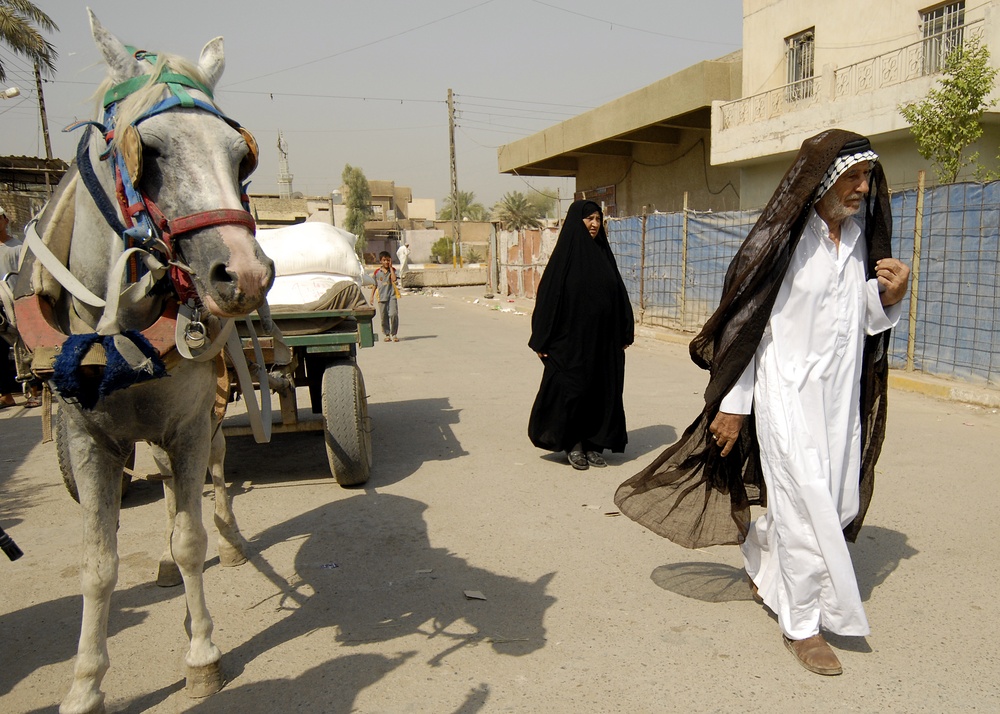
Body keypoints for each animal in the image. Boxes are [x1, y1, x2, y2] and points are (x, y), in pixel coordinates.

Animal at [13, 12, 276, 712]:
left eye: (240, 155)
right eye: (145, 152)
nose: (244, 275)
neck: (119, 340)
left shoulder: (186, 423)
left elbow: (191, 538)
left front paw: (202, 651)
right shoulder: (85, 437)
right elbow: (97, 566)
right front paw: (84, 683)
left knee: (212, 478)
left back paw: (229, 543)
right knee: (162, 487)